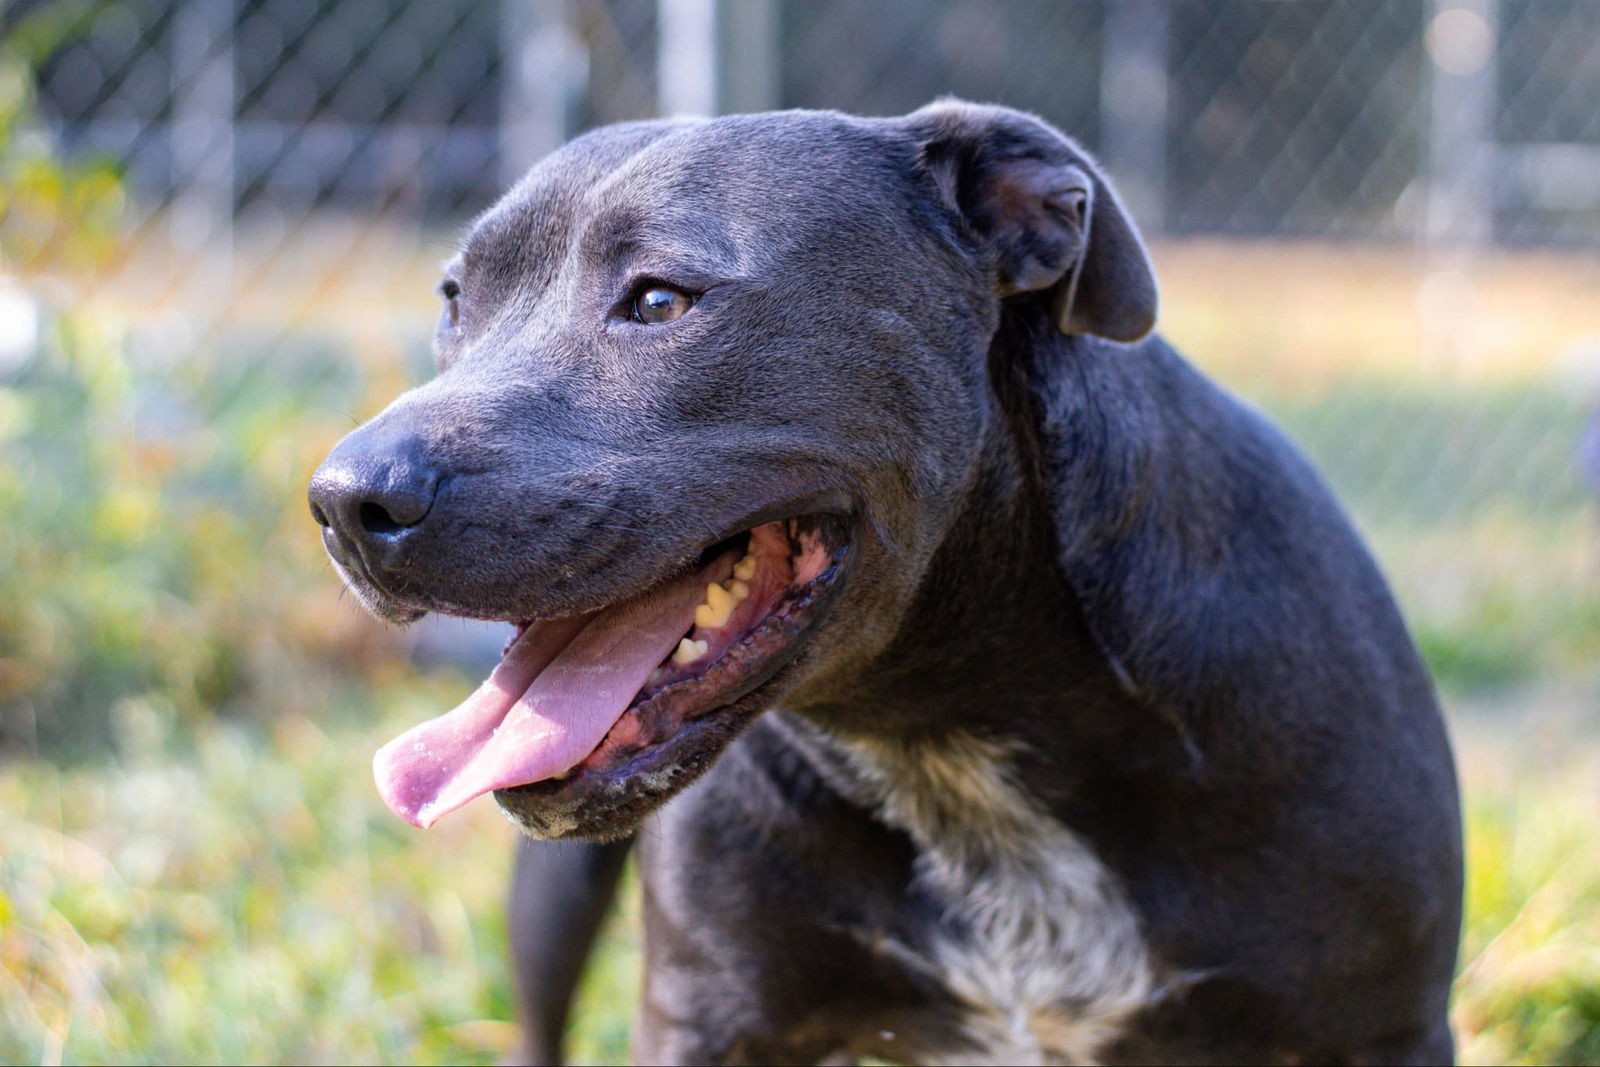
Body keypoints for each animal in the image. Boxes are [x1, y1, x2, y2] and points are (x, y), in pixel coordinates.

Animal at [308, 102, 1465, 1067]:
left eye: (660, 299)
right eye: (456, 304)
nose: (344, 501)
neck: (948, 736)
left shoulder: (1383, 1026)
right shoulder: (707, 1018)